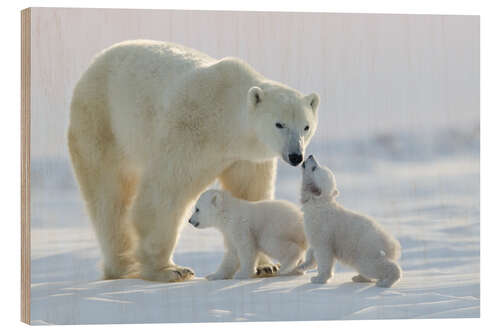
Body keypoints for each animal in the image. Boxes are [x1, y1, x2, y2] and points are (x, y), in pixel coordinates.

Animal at [67, 40, 320, 282]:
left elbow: (250, 193)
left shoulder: (246, 157)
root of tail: (94, 64)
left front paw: (266, 266)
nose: (296, 156)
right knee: (109, 197)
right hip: (103, 123)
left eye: (306, 126)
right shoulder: (191, 132)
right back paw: (125, 268)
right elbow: (164, 194)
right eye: (279, 124)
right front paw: (169, 270)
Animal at [296, 154, 402, 286]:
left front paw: (319, 278)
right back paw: (359, 277)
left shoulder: (323, 230)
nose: (311, 155)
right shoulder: (314, 231)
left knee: (375, 266)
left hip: (367, 251)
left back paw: (385, 282)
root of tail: (392, 245)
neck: (318, 203)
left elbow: (324, 254)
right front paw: (302, 266)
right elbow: (312, 249)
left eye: (314, 168)